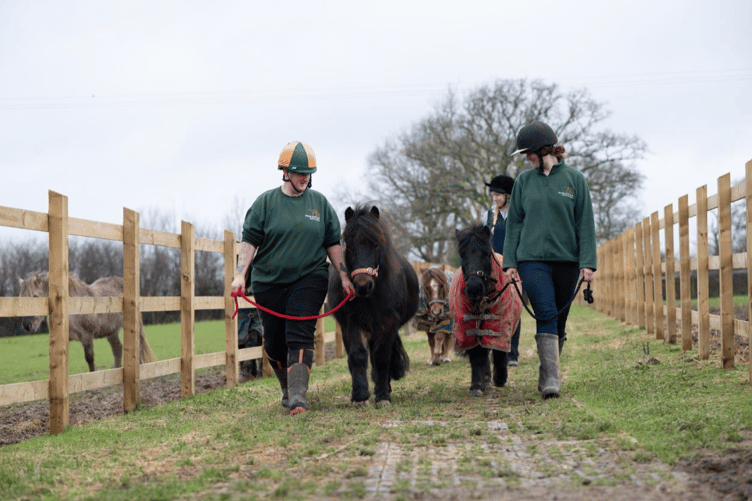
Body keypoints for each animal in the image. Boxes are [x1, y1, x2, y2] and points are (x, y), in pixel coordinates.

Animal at [18, 271, 157, 372]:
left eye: (35, 296)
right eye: (20, 297)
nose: (27, 325)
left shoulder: (87, 337)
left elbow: (90, 359)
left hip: (135, 326)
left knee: (139, 344)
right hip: (111, 332)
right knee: (117, 349)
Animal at [327, 205, 419, 406]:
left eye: (376, 244)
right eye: (349, 245)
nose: (362, 285)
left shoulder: (388, 323)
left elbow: (382, 358)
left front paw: (383, 395)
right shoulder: (353, 323)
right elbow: (358, 356)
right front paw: (360, 395)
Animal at [449, 224, 522, 396]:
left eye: (486, 253)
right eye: (462, 255)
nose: (473, 288)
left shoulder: (500, 322)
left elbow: (498, 349)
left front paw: (500, 378)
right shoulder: (468, 325)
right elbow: (477, 355)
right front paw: (477, 385)